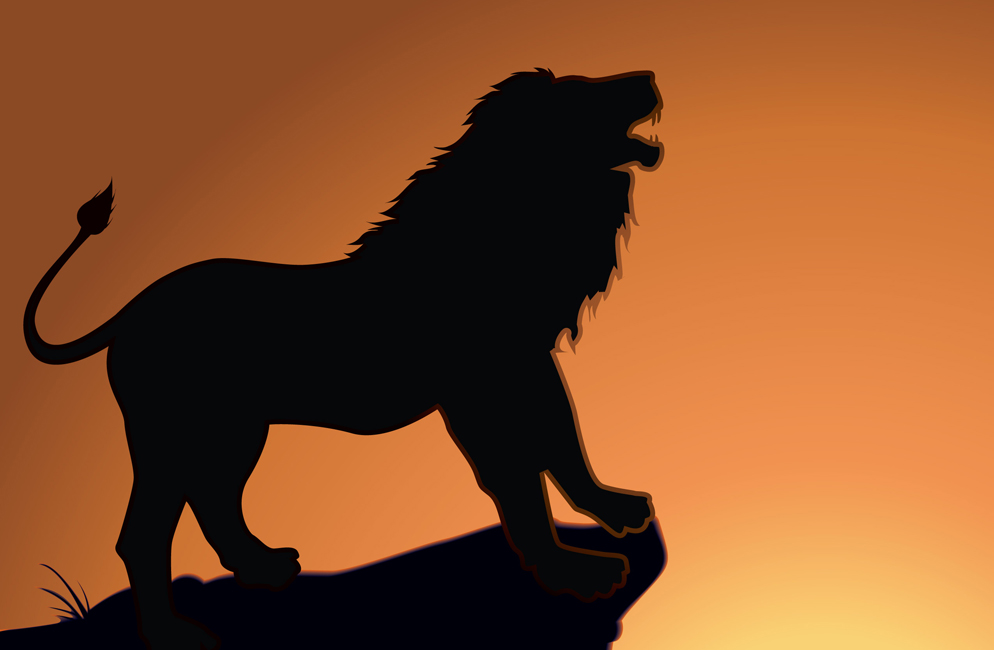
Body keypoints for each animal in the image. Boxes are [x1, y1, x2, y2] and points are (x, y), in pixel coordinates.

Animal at [25, 69, 663, 650]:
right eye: (581, 94)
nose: (649, 77)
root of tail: (129, 313)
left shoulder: (529, 368)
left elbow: (564, 441)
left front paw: (615, 511)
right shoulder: (478, 388)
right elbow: (521, 480)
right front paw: (573, 574)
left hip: (233, 432)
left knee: (215, 500)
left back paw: (263, 568)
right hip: (171, 433)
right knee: (144, 532)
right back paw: (169, 634)